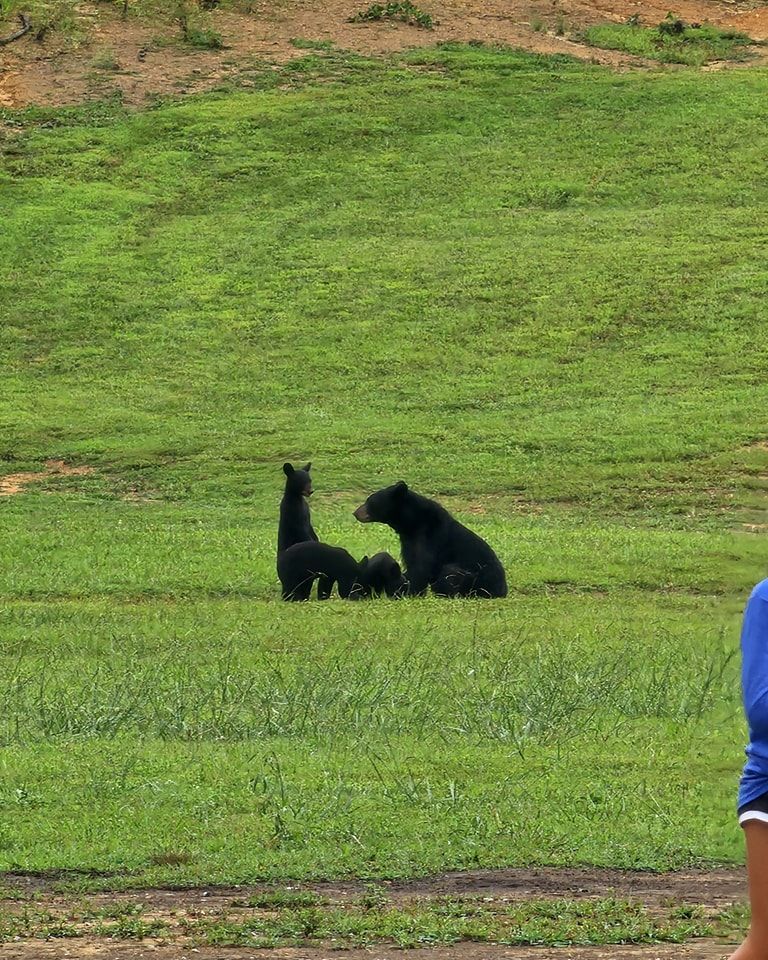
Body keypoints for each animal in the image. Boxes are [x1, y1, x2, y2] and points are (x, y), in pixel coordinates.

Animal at [353, 481, 507, 599]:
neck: (413, 524)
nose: (355, 513)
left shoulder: (431, 537)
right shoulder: (408, 541)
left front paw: (409, 592)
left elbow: (421, 568)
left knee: (451, 571)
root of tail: (503, 590)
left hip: (477, 580)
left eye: (370, 501)